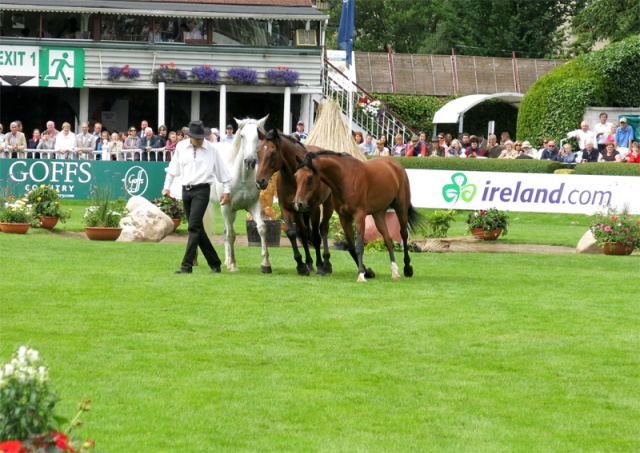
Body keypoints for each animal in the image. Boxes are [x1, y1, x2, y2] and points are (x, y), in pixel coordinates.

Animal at [203, 116, 272, 273]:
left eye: (259, 137)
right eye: (242, 135)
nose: (250, 161)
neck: (242, 178)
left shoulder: (253, 206)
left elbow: (262, 228)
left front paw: (265, 264)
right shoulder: (226, 208)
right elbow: (232, 235)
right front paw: (234, 265)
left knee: (224, 232)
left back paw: (227, 261)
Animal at [255, 129, 334, 276]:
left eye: (272, 153)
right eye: (258, 151)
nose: (259, 181)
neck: (294, 178)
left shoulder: (314, 209)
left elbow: (316, 236)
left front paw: (320, 266)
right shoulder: (287, 208)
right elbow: (292, 233)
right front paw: (301, 265)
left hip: (327, 205)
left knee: (323, 228)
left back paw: (326, 263)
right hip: (300, 211)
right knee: (303, 232)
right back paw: (309, 263)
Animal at [293, 151, 427, 282]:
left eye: (309, 178)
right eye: (295, 177)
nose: (298, 203)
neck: (345, 178)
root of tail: (395, 164)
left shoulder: (359, 216)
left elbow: (359, 247)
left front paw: (361, 275)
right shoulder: (344, 218)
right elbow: (351, 248)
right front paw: (367, 272)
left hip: (401, 208)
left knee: (403, 234)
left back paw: (407, 268)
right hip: (378, 214)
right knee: (388, 240)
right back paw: (394, 272)